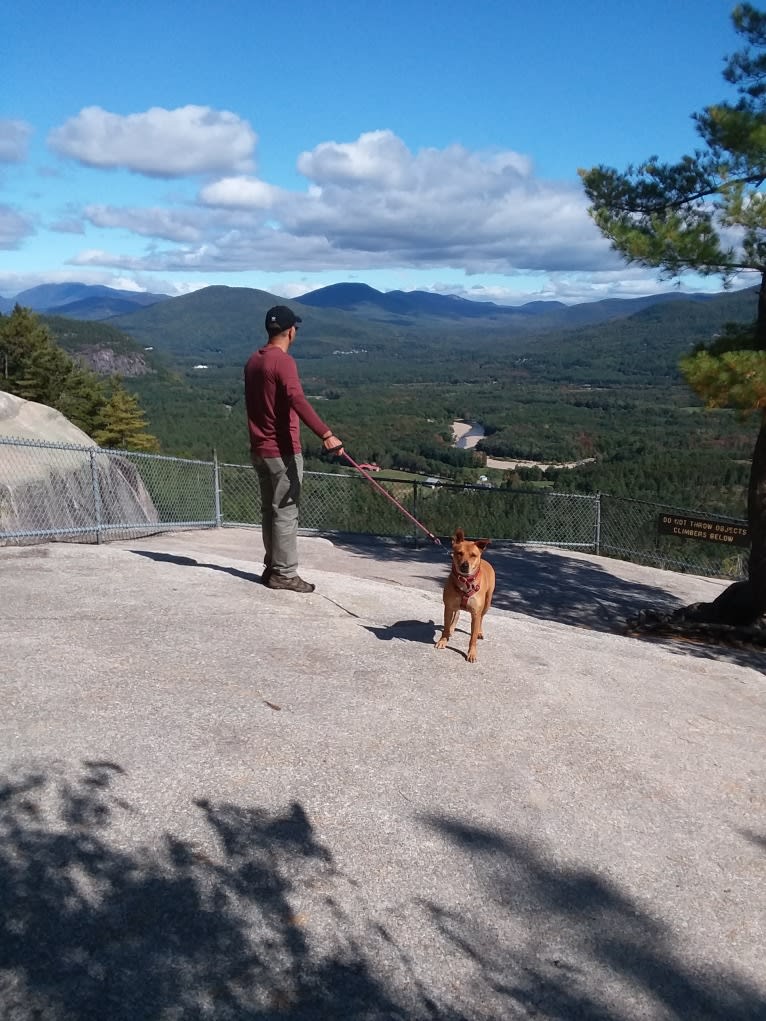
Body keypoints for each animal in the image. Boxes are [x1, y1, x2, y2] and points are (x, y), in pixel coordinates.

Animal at [435, 526, 494, 661]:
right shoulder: (448, 607)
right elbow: (446, 626)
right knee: (456, 614)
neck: (465, 581)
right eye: (459, 553)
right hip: (455, 606)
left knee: (482, 618)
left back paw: (479, 632)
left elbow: (472, 638)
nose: (465, 565)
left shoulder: (476, 614)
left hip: (487, 603)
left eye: (473, 555)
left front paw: (472, 653)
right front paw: (443, 640)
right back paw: (451, 629)